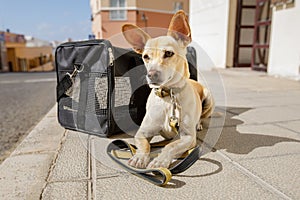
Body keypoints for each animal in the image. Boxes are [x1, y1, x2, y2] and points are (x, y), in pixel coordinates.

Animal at [121, 9, 213, 169]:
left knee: (202, 116)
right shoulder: (142, 132)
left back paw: (199, 124)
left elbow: (171, 146)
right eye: (146, 57)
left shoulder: (188, 137)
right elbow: (144, 145)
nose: (151, 74)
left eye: (169, 53)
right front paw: (139, 157)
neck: (169, 97)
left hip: (208, 99)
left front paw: (160, 160)